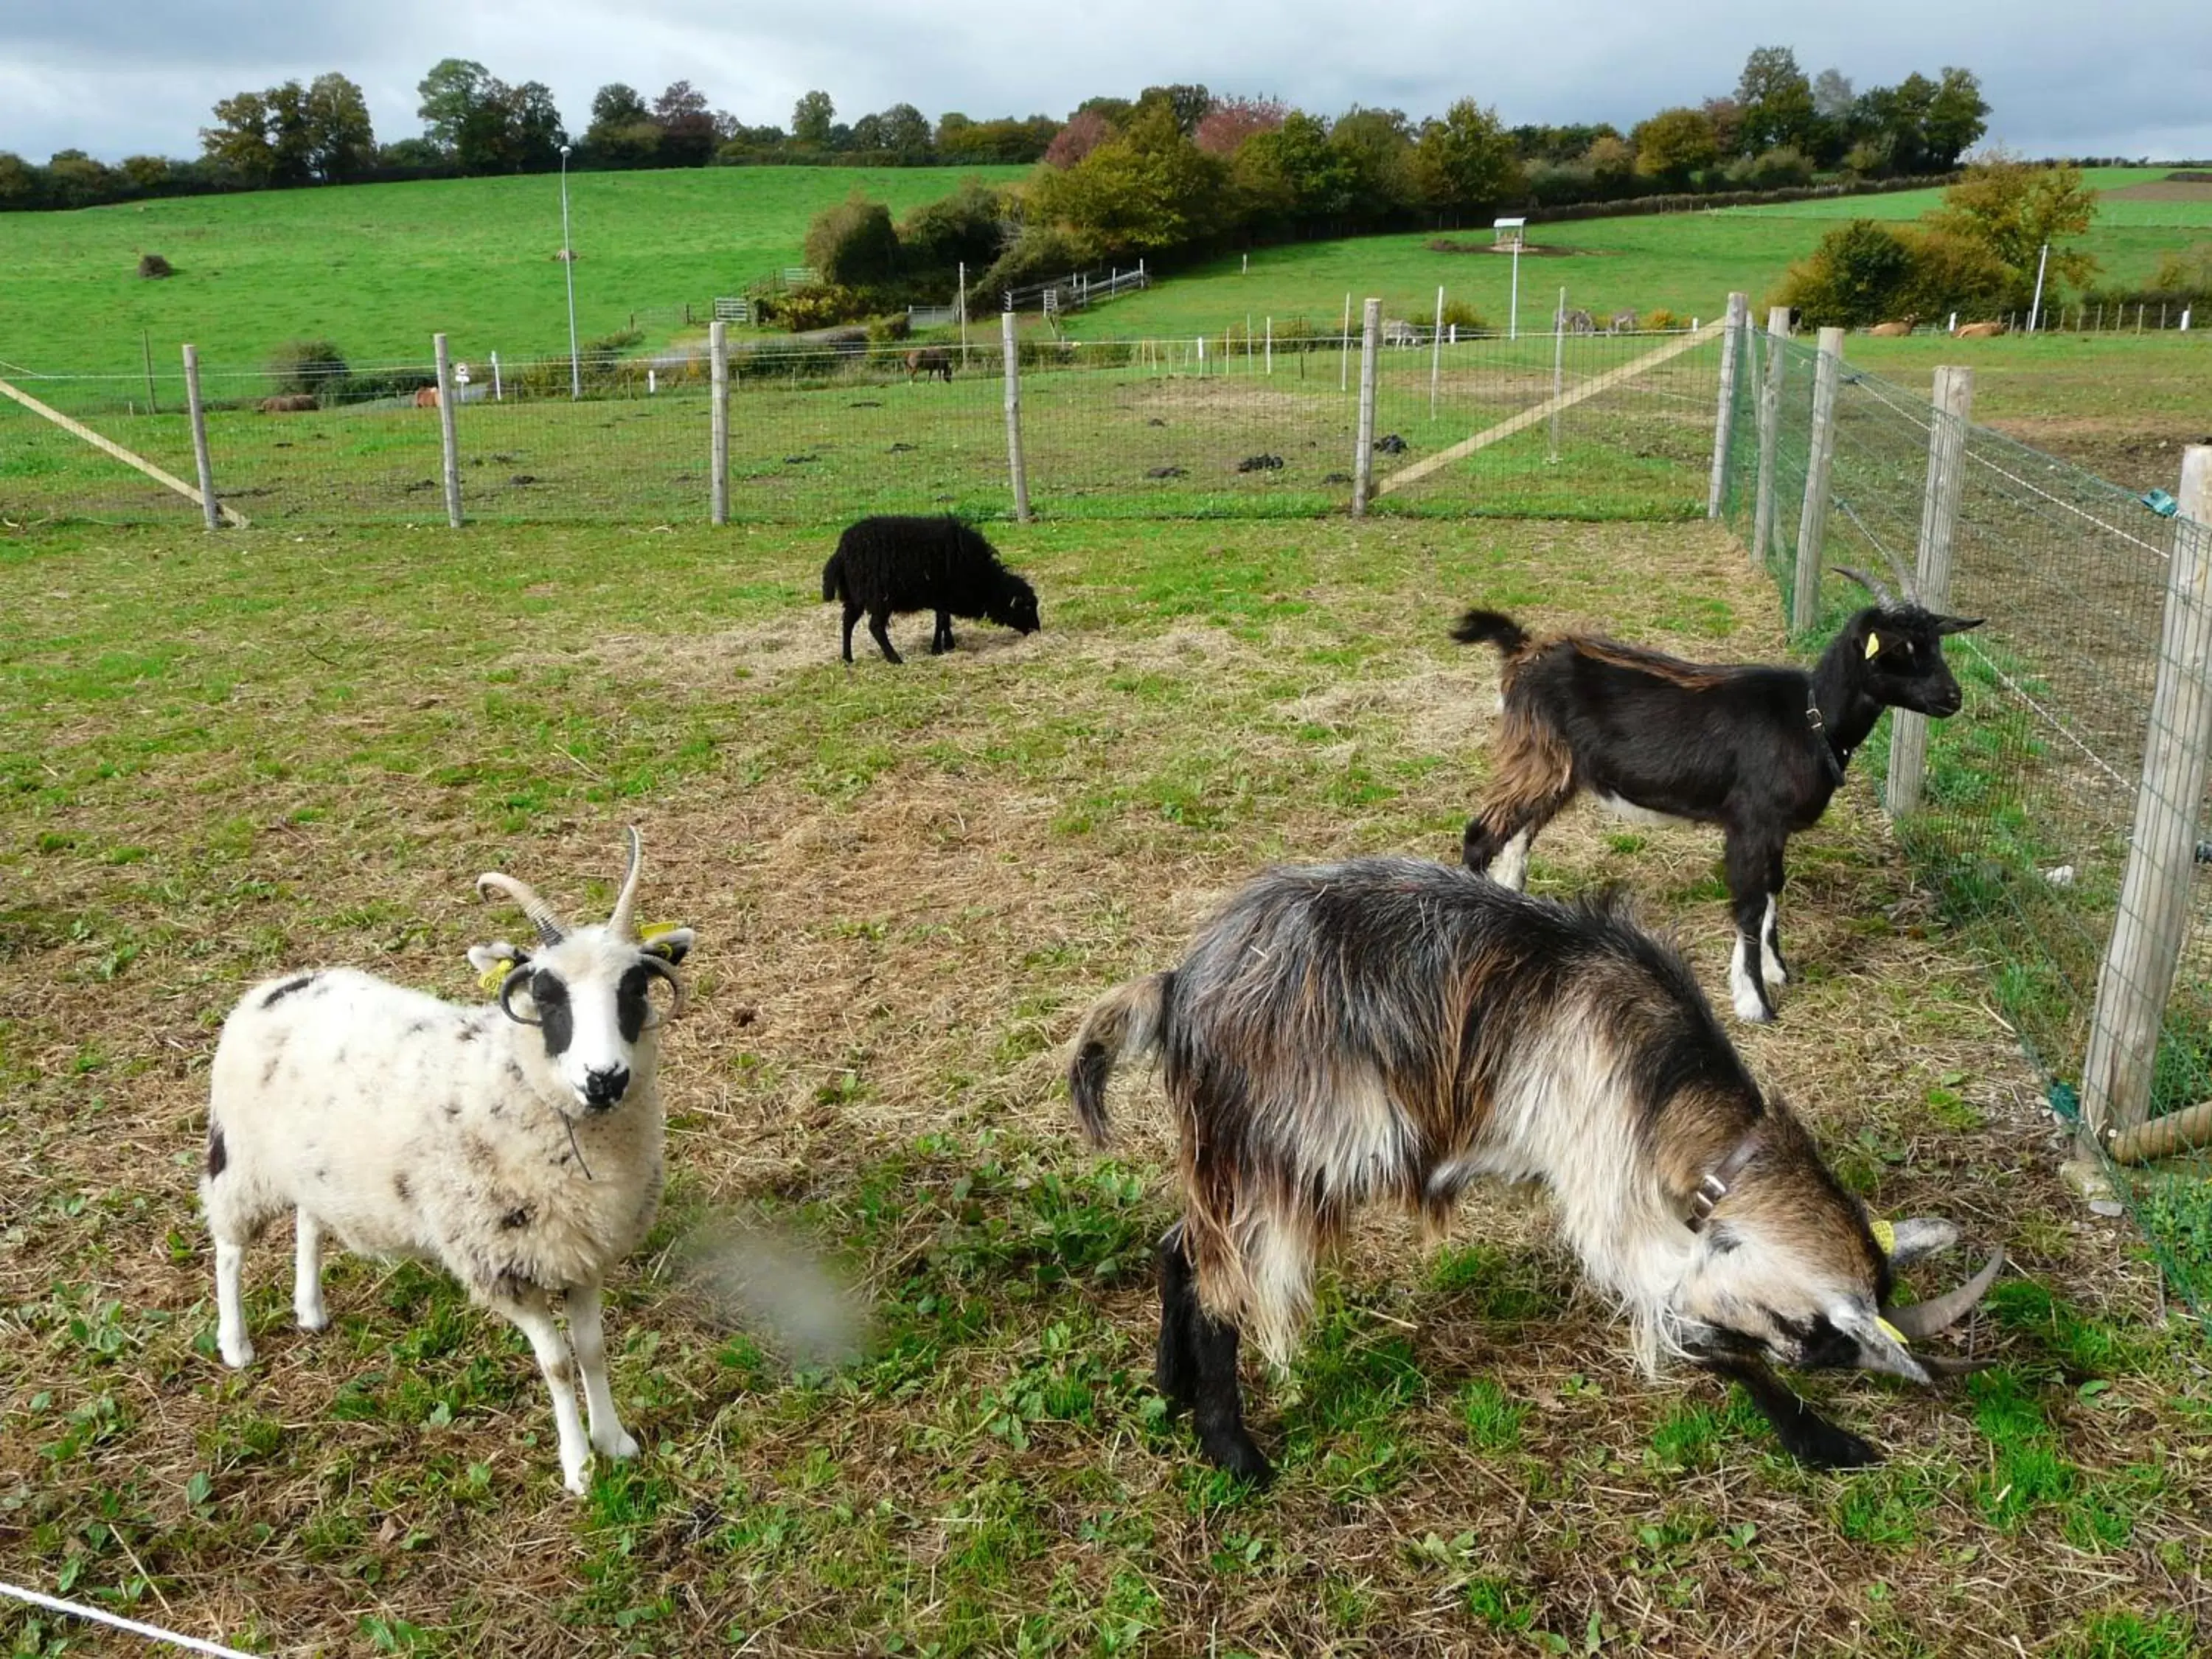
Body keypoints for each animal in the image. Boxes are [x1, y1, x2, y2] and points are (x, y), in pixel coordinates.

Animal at [206, 836, 695, 1504]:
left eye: (635, 989)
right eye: (545, 995)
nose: (605, 1079)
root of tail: (279, 984)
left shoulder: (584, 1253)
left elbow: (592, 1351)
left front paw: (615, 1442)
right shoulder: (500, 1263)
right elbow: (556, 1364)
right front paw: (579, 1467)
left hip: (312, 1163)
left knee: (309, 1219)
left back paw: (310, 1310)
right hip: (241, 1156)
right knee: (230, 1246)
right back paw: (235, 1344)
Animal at [823, 518, 1044, 668]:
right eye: (1026, 608)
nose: (1037, 630)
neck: (985, 581)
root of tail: (841, 551)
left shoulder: (943, 598)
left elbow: (945, 620)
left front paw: (948, 644)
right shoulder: (943, 595)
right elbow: (942, 620)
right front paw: (938, 648)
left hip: (856, 596)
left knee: (847, 622)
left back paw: (848, 658)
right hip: (879, 597)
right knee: (875, 627)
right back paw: (895, 659)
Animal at [1460, 566, 1982, 1022]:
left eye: (1935, 641)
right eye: (1897, 647)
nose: (1953, 697)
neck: (1810, 718)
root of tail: (1522, 649)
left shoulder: (1775, 828)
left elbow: (1773, 889)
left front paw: (1776, 971)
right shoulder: (1751, 822)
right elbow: (1749, 905)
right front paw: (1753, 1002)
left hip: (1555, 772)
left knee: (1518, 837)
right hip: (1539, 758)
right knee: (1481, 835)